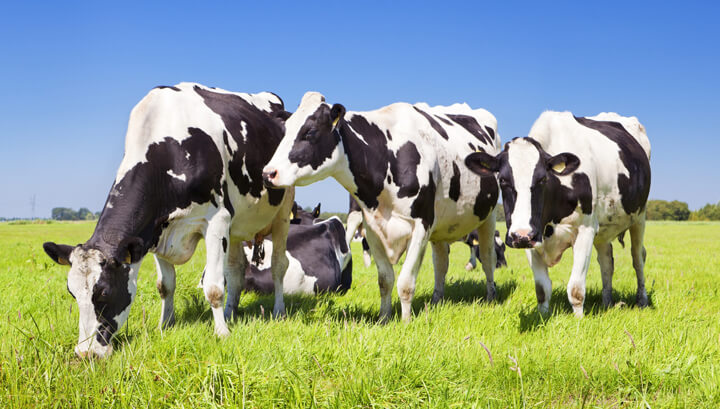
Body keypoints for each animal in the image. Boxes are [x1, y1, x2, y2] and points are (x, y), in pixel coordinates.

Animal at [42, 82, 294, 357]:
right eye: (72, 293)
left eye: (104, 292)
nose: (86, 353)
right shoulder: (154, 231)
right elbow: (165, 285)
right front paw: (165, 326)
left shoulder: (217, 220)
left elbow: (214, 287)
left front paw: (222, 334)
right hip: (238, 224)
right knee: (236, 271)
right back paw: (230, 313)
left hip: (283, 210)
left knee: (279, 265)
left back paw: (278, 311)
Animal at [262, 92, 502, 322]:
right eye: (285, 131)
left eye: (310, 132)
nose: (268, 173)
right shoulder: (372, 228)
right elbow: (385, 279)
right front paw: (384, 318)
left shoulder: (421, 225)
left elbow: (405, 282)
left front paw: (405, 322)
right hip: (442, 224)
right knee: (441, 262)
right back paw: (436, 301)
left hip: (488, 216)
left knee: (487, 257)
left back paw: (491, 297)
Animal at [465, 111, 651, 317]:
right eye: (503, 180)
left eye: (542, 179)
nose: (520, 235)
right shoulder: (532, 236)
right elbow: (542, 289)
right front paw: (543, 316)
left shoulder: (585, 229)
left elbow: (576, 289)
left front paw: (579, 320)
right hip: (603, 230)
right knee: (606, 262)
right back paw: (607, 302)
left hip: (640, 216)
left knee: (638, 257)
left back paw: (642, 300)